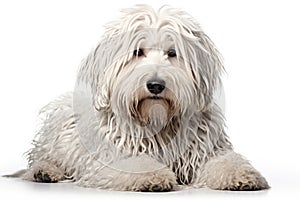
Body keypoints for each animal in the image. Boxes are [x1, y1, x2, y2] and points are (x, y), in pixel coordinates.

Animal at [8, 5, 270, 192]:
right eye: (137, 52)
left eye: (172, 53)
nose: (155, 85)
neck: (157, 121)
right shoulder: (114, 154)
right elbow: (137, 163)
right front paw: (152, 177)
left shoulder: (203, 151)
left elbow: (225, 161)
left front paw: (242, 175)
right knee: (40, 159)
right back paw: (45, 171)